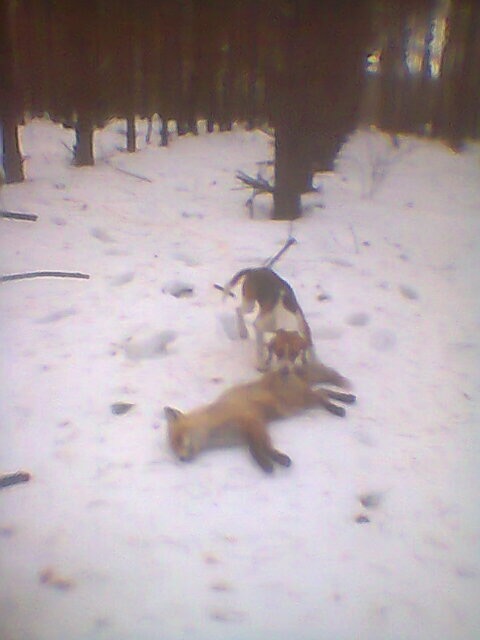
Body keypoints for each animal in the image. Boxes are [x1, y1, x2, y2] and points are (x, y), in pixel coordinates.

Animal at [164, 361, 355, 473]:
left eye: (180, 440)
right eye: (174, 449)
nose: (181, 459)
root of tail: (289, 371)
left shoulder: (253, 421)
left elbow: (263, 446)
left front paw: (275, 459)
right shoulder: (248, 433)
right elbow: (254, 449)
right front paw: (266, 463)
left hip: (296, 403)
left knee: (321, 394)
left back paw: (337, 407)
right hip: (299, 403)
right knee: (322, 391)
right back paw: (345, 399)